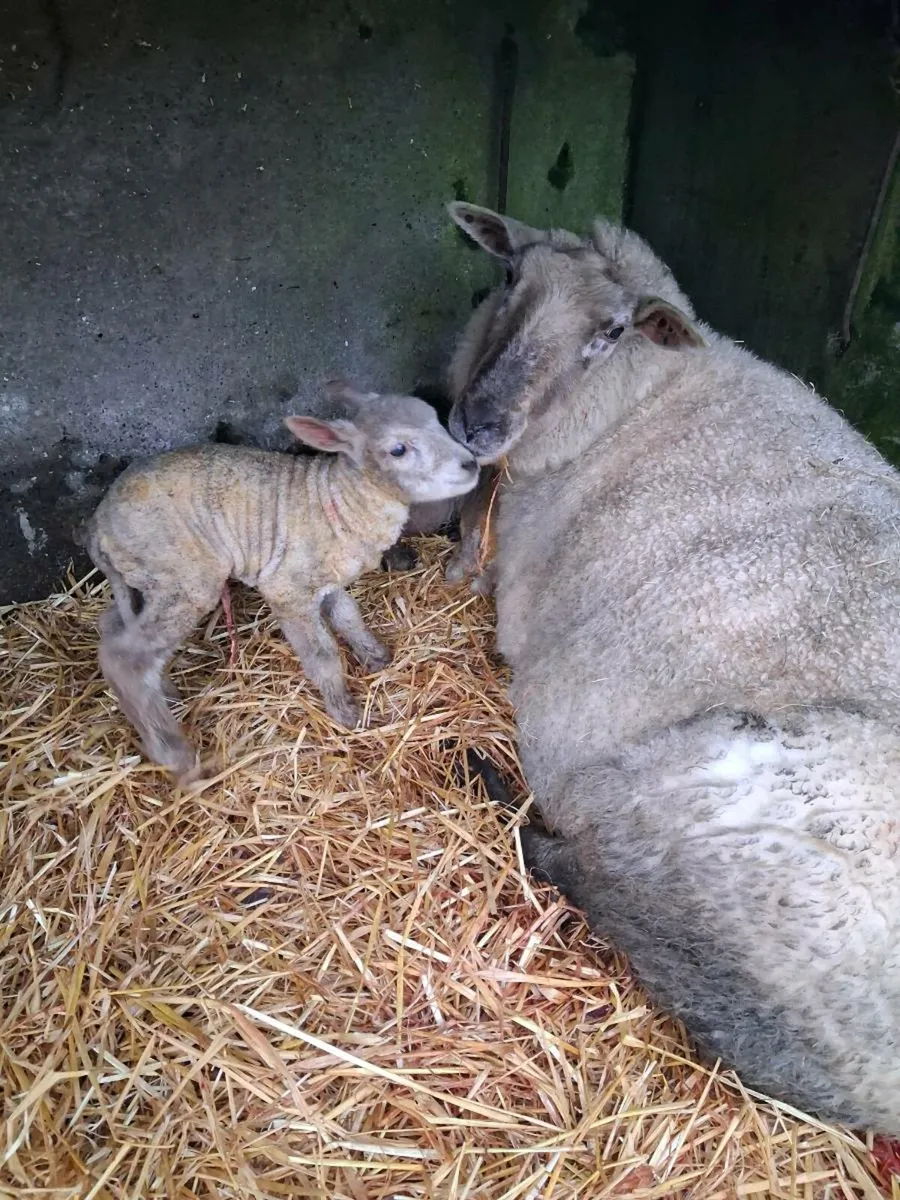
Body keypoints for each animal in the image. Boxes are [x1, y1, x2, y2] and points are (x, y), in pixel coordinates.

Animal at [82, 380, 478, 782]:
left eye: (436, 419)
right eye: (398, 450)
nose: (471, 463)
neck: (341, 500)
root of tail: (98, 525)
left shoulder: (327, 581)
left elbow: (349, 616)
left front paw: (375, 655)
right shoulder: (287, 589)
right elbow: (322, 655)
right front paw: (345, 711)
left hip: (149, 577)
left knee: (112, 624)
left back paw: (165, 691)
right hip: (184, 573)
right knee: (124, 658)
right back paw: (176, 754)